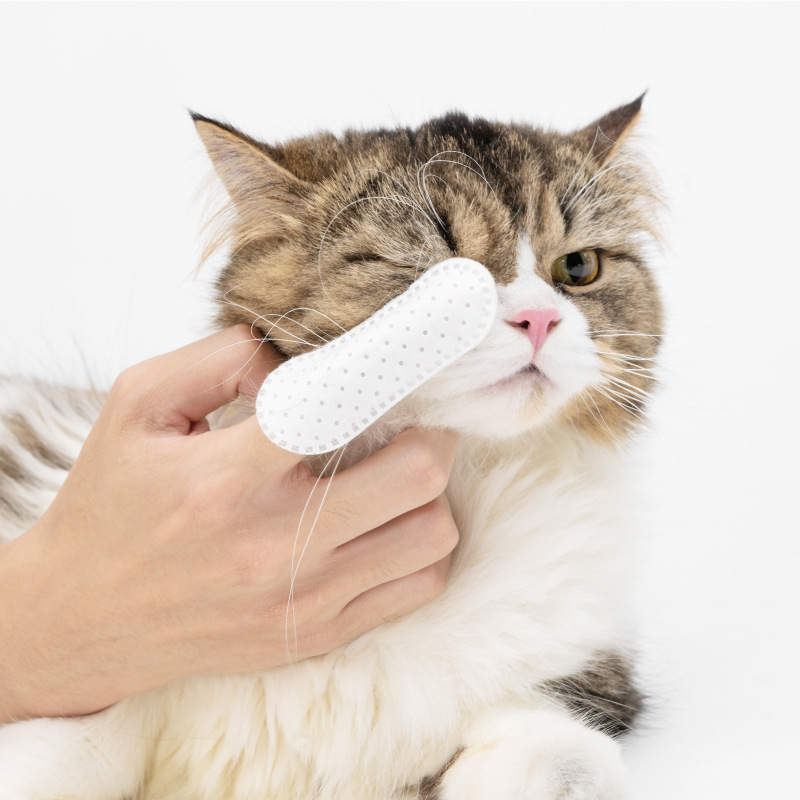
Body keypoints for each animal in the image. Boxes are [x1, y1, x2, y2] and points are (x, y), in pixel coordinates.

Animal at [0, 97, 663, 799]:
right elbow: (71, 747)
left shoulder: (575, 688)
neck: (468, 481)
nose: (539, 321)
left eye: (578, 269)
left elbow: (558, 758)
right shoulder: (101, 698)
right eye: (436, 281)